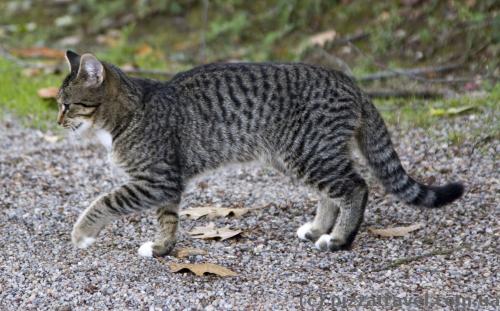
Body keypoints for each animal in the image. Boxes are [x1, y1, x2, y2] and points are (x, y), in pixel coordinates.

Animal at [58, 50, 464, 258]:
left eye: (67, 104)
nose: (57, 119)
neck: (130, 112)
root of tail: (348, 80)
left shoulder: (156, 179)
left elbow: (104, 201)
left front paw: (82, 233)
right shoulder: (167, 184)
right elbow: (168, 219)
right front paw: (162, 247)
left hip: (309, 152)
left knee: (355, 187)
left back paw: (338, 239)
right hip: (299, 156)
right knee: (331, 193)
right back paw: (318, 227)